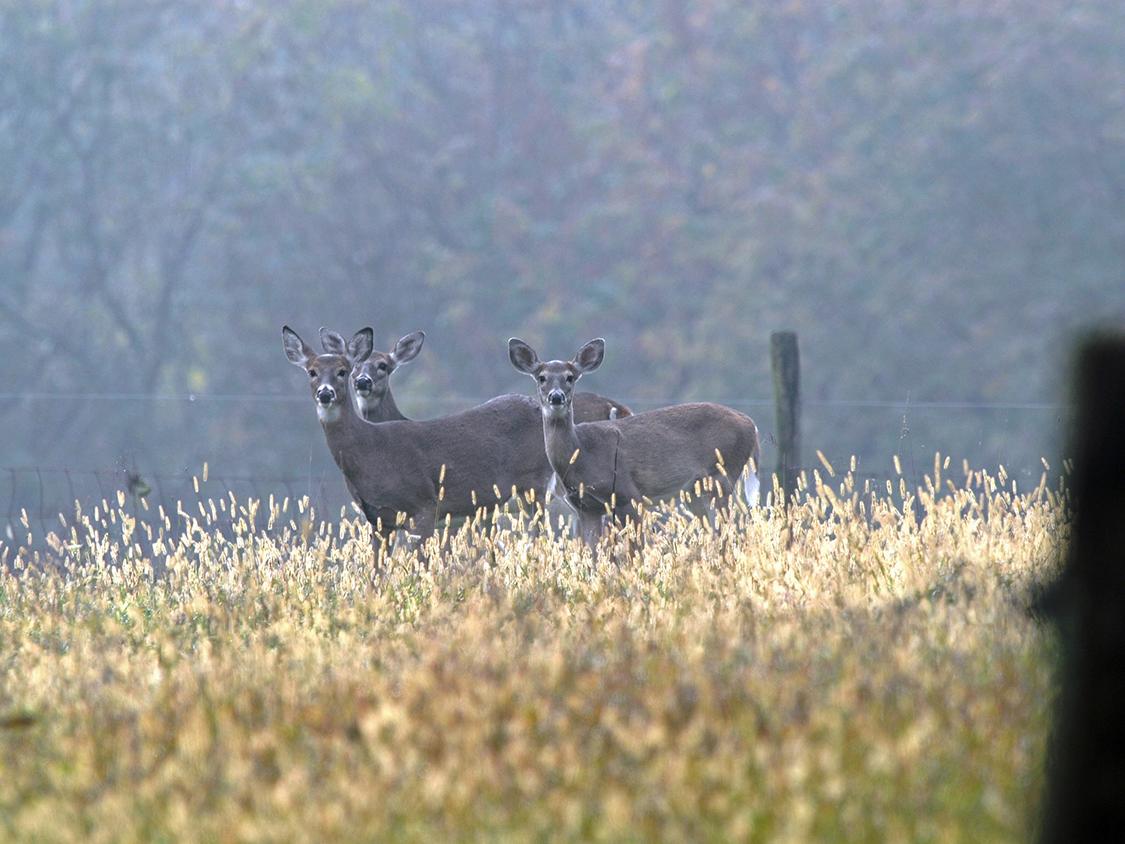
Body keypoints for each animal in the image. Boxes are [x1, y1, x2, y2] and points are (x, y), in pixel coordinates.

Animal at [283, 325, 555, 564]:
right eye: (311, 371)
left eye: (342, 370)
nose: (325, 393)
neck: (370, 450)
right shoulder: (379, 519)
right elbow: (376, 573)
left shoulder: (424, 506)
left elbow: (424, 565)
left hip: (534, 485)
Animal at [508, 337, 761, 547]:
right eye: (542, 377)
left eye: (570, 377)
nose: (556, 397)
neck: (583, 453)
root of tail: (751, 425)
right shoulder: (587, 508)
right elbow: (592, 554)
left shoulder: (628, 495)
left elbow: (635, 551)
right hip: (695, 491)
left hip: (723, 476)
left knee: (731, 531)